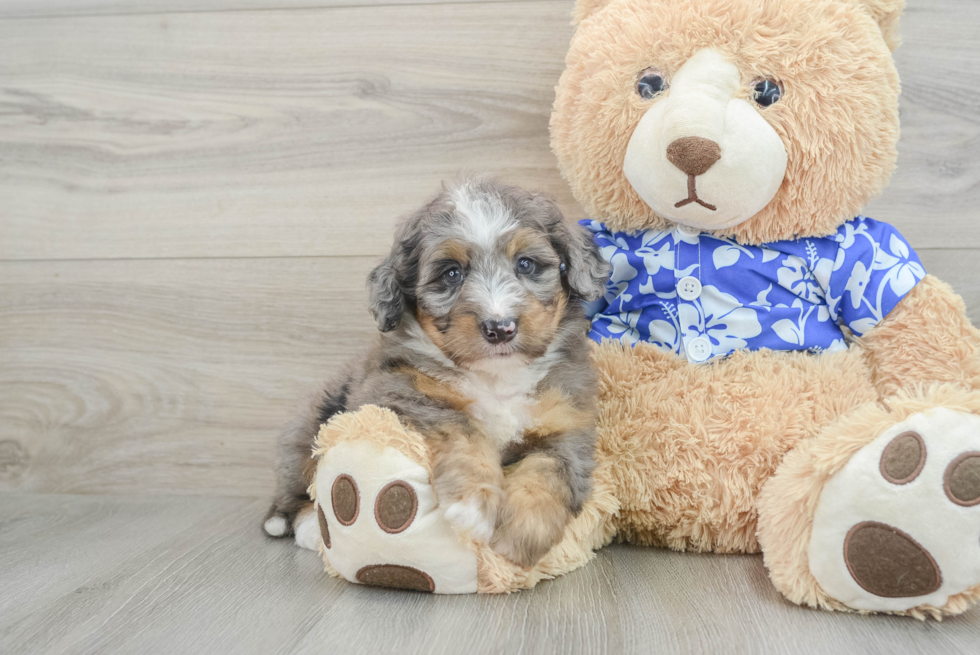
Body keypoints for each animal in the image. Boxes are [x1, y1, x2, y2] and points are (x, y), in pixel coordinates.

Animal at [264, 177, 608, 568]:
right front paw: (474, 505)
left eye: (526, 264)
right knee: (298, 490)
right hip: (310, 427)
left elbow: (550, 469)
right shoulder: (399, 390)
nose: (500, 327)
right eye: (451, 273)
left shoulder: (568, 426)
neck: (497, 377)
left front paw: (520, 533)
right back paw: (307, 527)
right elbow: (462, 427)